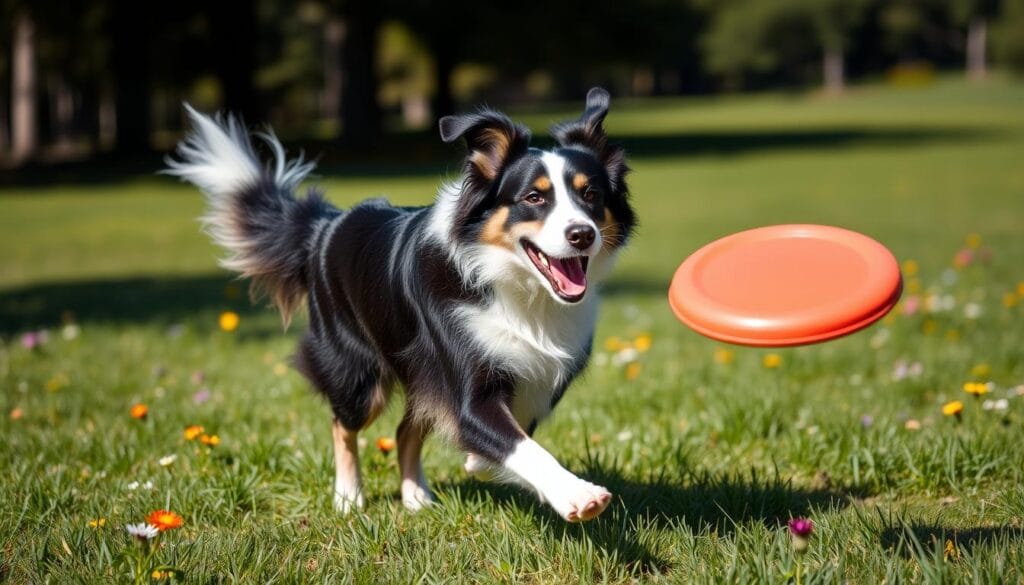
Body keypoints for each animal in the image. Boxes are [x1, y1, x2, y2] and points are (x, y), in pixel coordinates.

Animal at [164, 88, 634, 522]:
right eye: (534, 198)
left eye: (590, 194)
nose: (582, 234)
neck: (514, 286)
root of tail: (325, 226)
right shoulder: (465, 387)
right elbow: (522, 445)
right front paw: (577, 494)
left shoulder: (535, 379)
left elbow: (510, 437)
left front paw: (478, 462)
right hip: (358, 371)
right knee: (343, 423)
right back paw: (348, 497)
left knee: (407, 427)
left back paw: (415, 496)